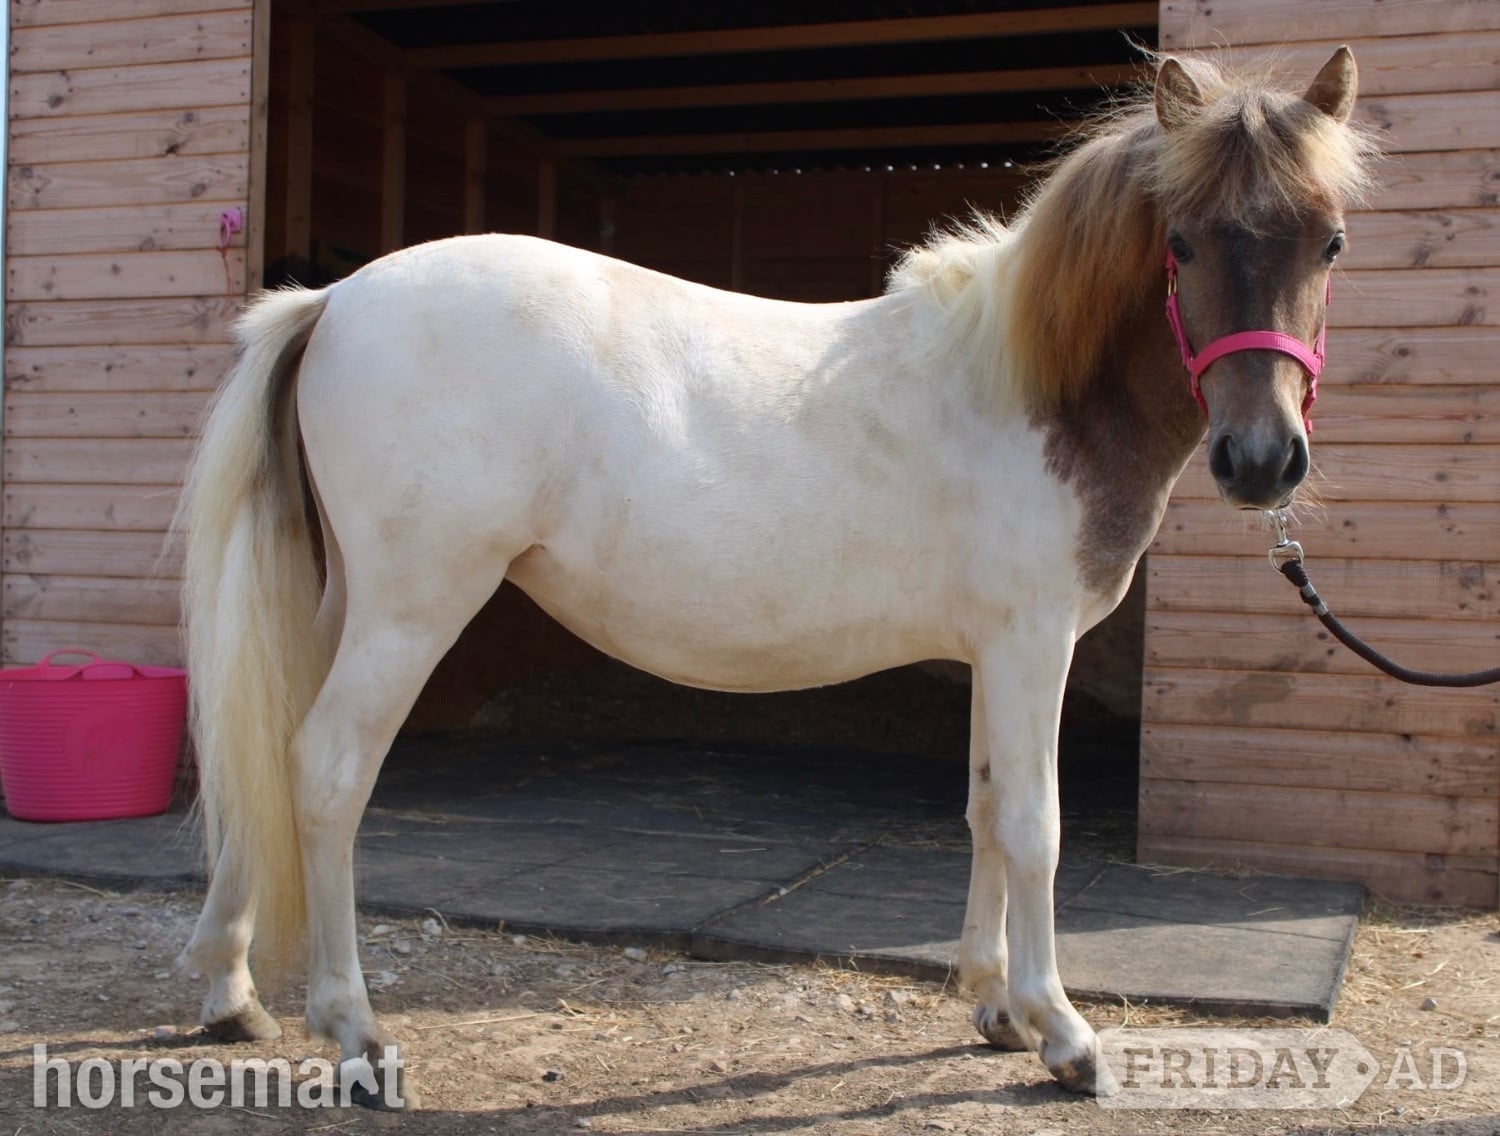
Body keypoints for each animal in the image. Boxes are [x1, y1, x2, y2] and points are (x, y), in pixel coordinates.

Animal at [177, 48, 1375, 1104]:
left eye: (1330, 243)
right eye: (1181, 243)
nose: (1263, 460)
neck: (1031, 388)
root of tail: (332, 301)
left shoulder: (993, 651)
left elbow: (987, 808)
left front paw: (994, 1004)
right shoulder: (1034, 644)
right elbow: (1036, 825)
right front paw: (1063, 1034)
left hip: (345, 602)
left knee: (268, 752)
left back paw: (232, 993)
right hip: (410, 610)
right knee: (327, 769)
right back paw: (356, 1034)